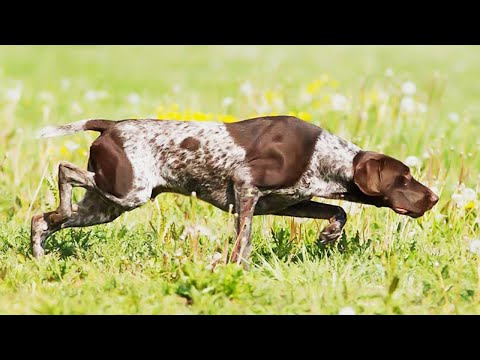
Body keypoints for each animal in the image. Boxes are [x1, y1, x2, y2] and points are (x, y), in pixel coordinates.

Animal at [31, 116, 438, 264]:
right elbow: (243, 240)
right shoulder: (245, 187)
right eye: (404, 178)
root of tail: (111, 125)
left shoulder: (286, 203)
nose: (434, 197)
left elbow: (338, 210)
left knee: (42, 219)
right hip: (129, 191)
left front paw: (329, 235)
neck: (323, 155)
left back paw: (39, 249)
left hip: (106, 204)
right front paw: (234, 267)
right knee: (64, 170)